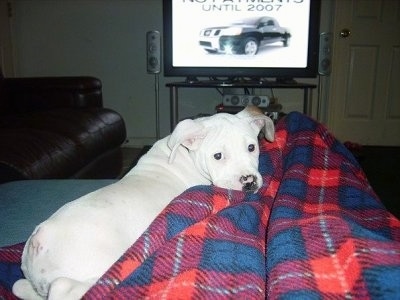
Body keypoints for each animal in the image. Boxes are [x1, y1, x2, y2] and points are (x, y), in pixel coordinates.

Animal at [13, 106, 276, 298]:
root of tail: (38, 240)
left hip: (33, 281)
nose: (249, 182)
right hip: (97, 265)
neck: (185, 154)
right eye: (218, 156)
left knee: (21, 287)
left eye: (252, 147)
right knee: (68, 288)